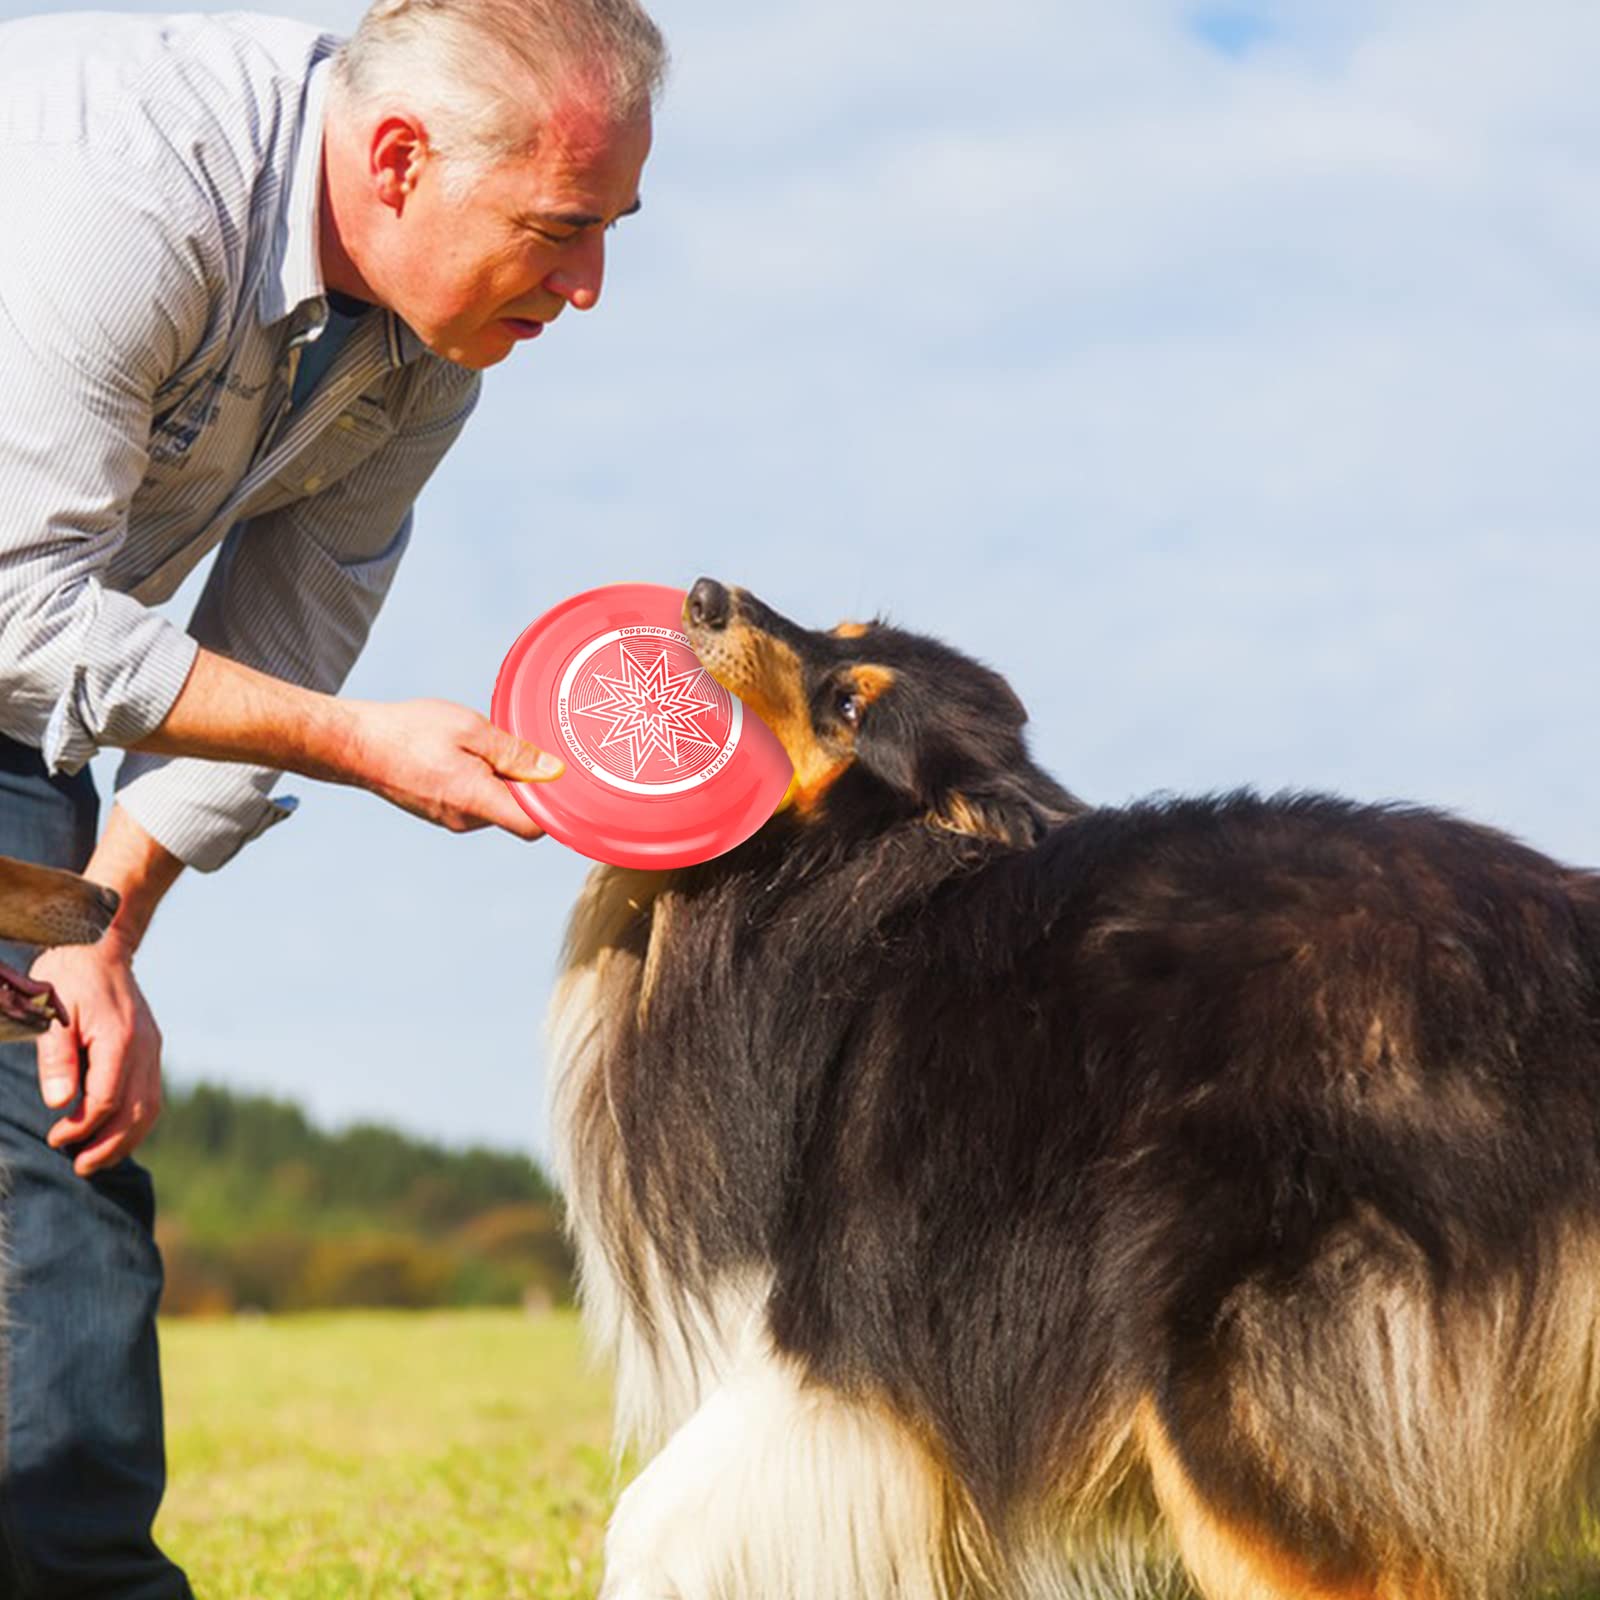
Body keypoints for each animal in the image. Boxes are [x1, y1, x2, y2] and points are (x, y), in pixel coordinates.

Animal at [547, 579, 1600, 1600]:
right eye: (834, 631)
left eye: (848, 706)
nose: (703, 595)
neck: (852, 873)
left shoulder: (848, 1315)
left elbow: (649, 1524)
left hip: (1230, 1380)